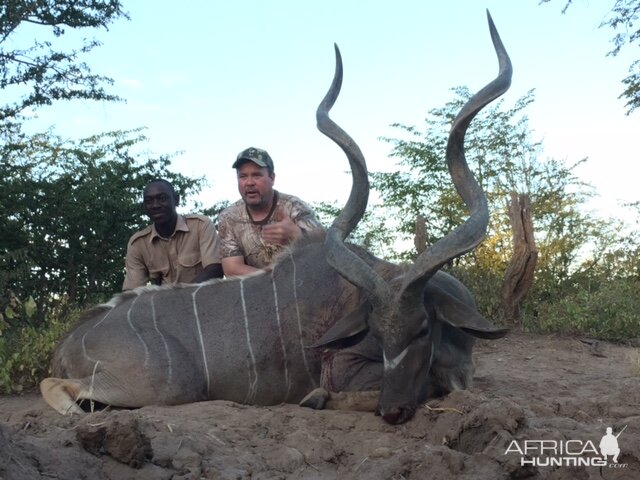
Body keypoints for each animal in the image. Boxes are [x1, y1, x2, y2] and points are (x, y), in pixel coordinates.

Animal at [38, 12, 510, 424]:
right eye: (378, 332)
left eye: (423, 329)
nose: (393, 411)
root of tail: (70, 340)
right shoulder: (346, 367)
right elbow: (421, 387)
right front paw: (317, 398)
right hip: (165, 387)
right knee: (53, 385)